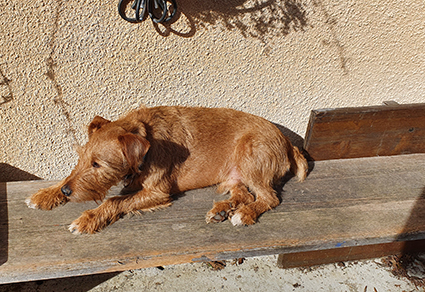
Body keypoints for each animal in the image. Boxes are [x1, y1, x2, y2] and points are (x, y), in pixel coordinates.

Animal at [25, 106, 304, 234]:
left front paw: (89, 217)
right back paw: (223, 210)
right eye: (82, 158)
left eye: (97, 164)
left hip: (249, 154)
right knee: (244, 194)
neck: (145, 140)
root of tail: (288, 141)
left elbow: (115, 200)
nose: (67, 191)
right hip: (233, 175)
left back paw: (244, 214)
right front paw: (47, 194)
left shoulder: (157, 192)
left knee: (269, 197)